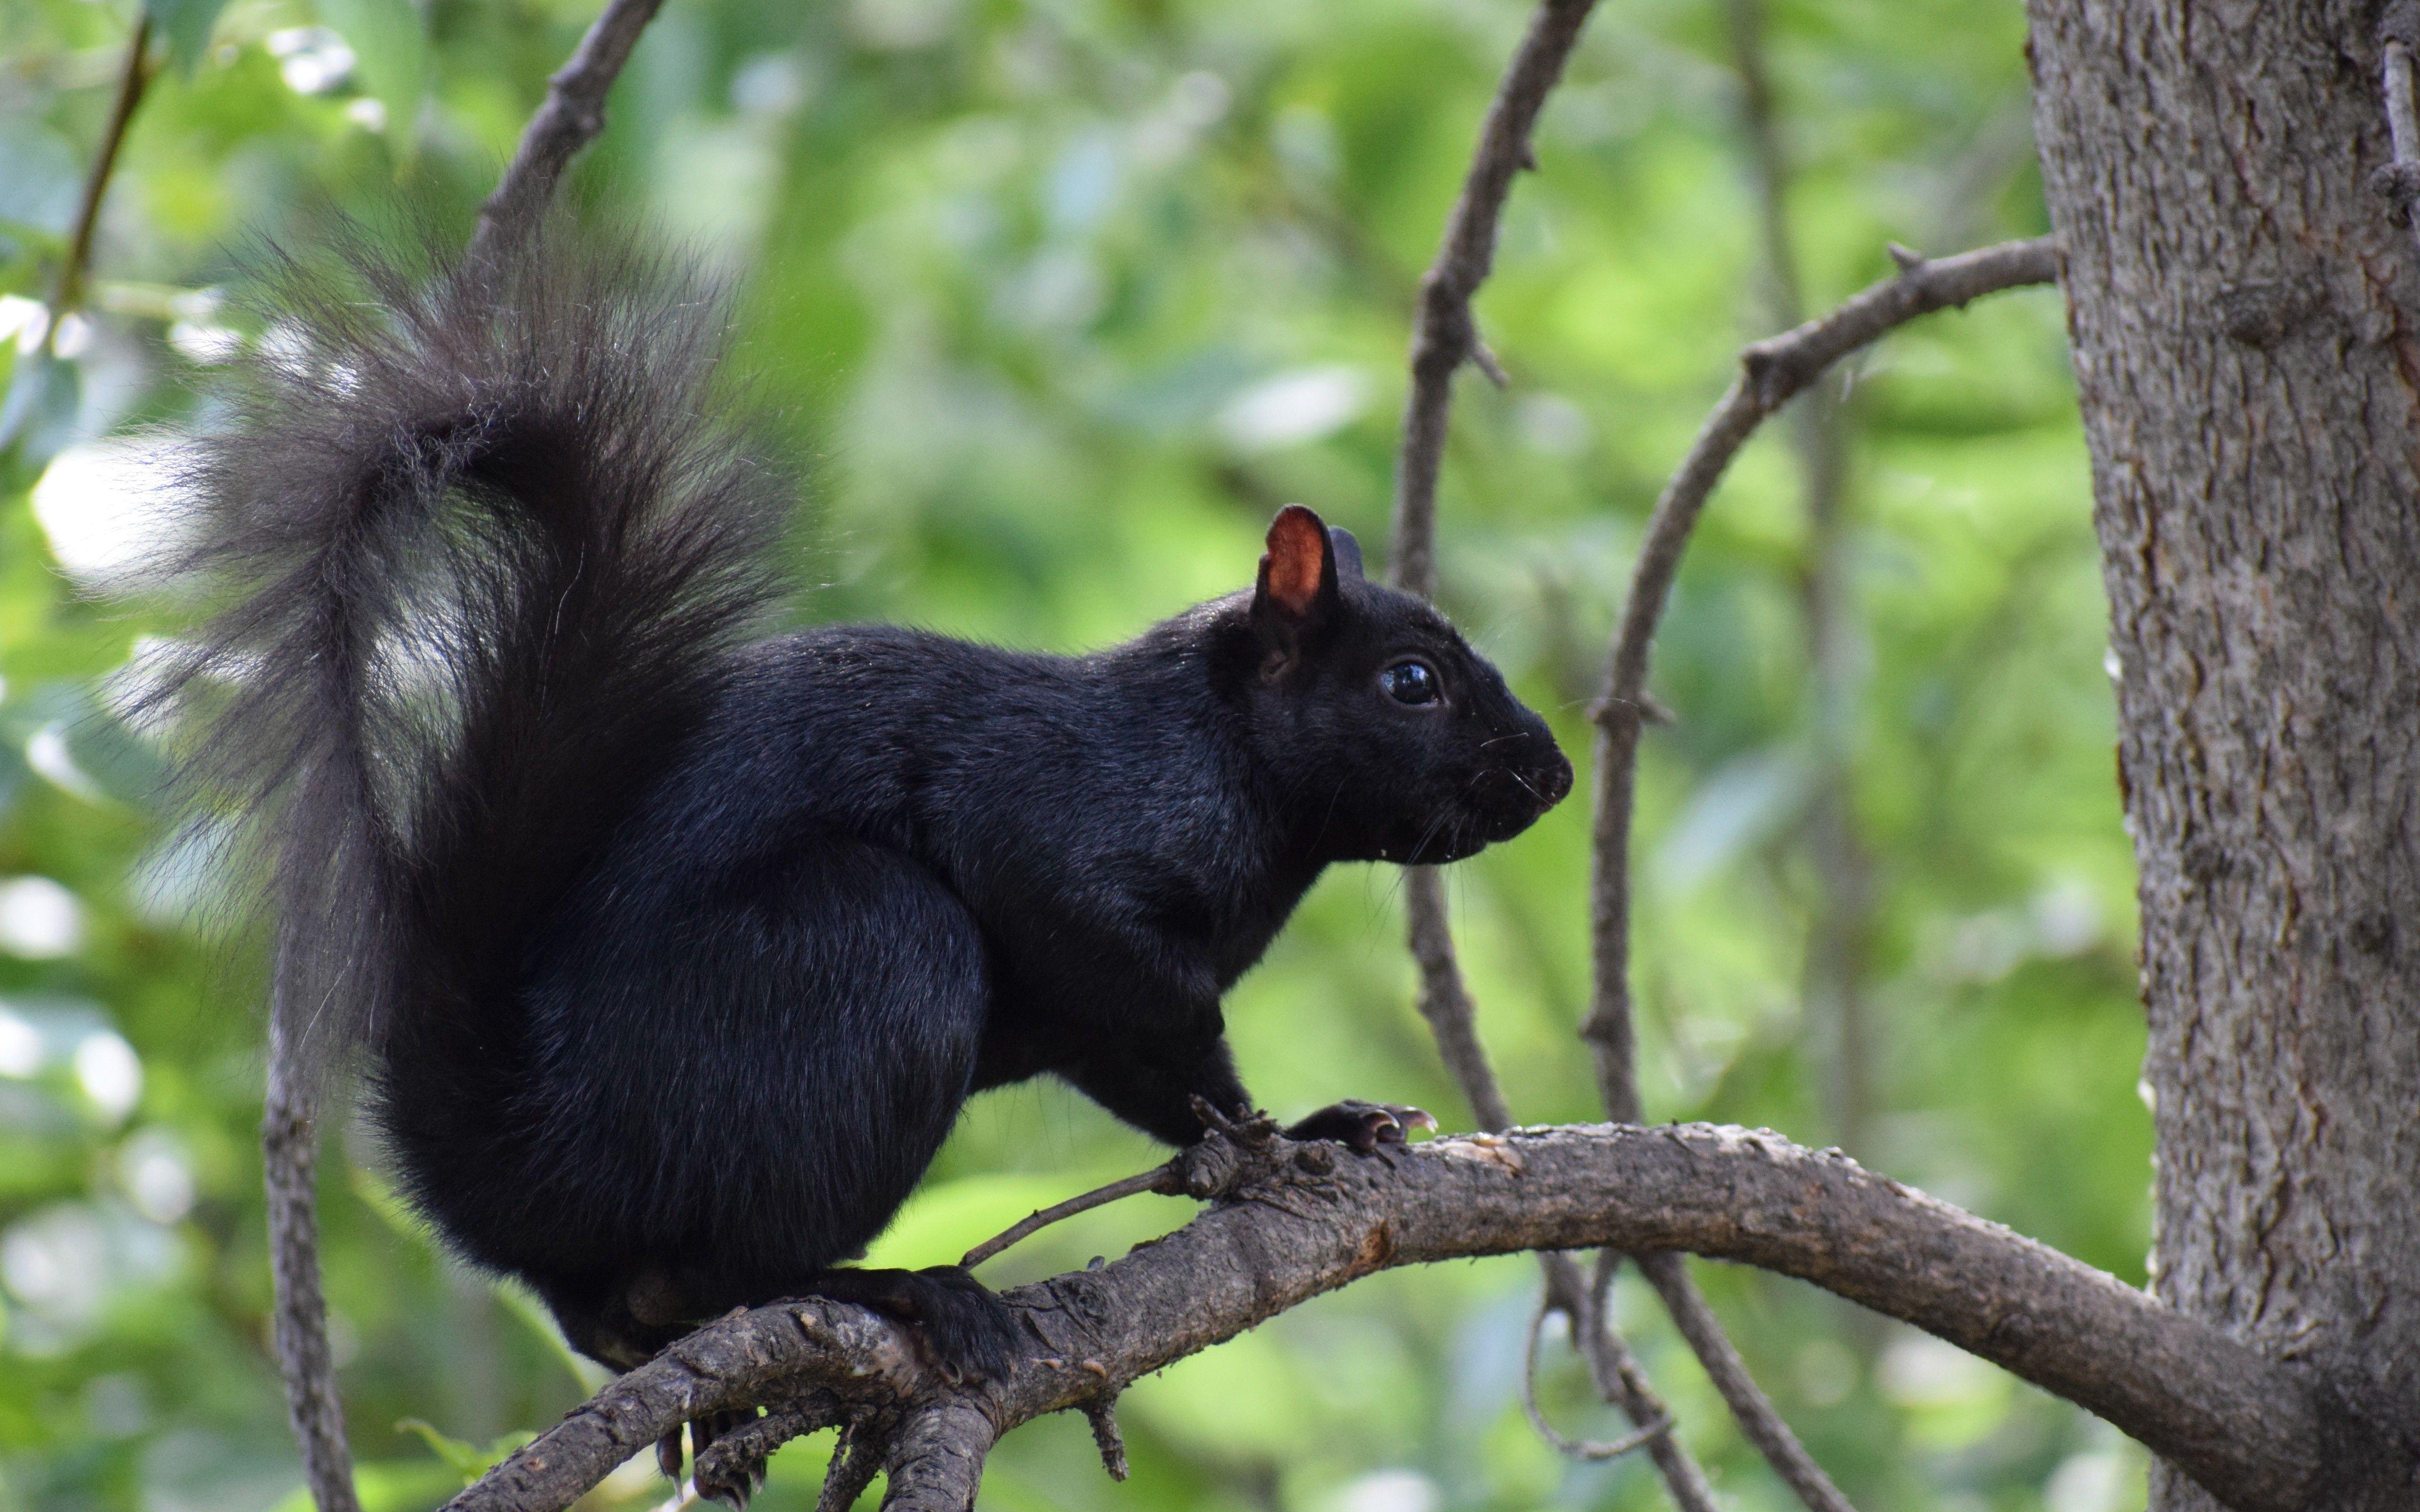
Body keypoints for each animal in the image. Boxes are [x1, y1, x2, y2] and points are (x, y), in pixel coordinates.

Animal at [165, 230, 1568, 1393]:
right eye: (1412, 682)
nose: (1551, 777)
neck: (1221, 759)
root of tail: (521, 1148)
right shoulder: (1055, 833)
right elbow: (1167, 1025)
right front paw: (1275, 1146)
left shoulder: (1094, 1015)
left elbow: (1152, 1075)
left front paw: (1320, 1126)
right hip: (865, 945)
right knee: (726, 1271)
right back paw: (896, 1289)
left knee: (620, 1314)